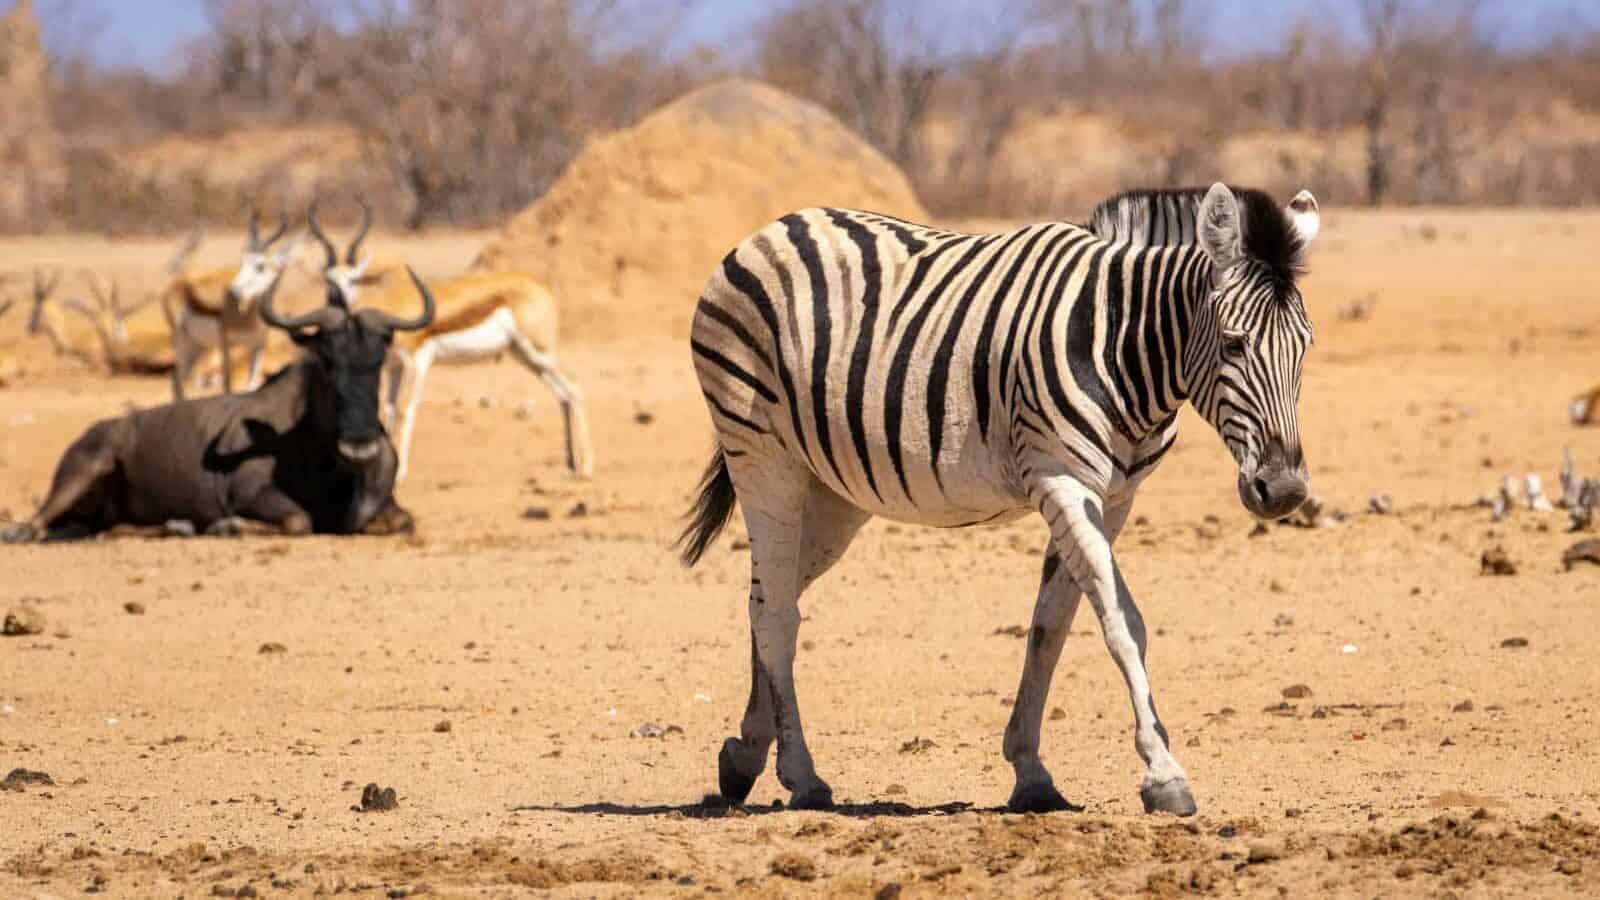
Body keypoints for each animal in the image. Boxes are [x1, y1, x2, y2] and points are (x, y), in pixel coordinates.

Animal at [677, 182, 1320, 816]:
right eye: (1234, 346)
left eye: (1305, 348)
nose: (1284, 491)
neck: (1121, 345)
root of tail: (777, 226)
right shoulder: (1063, 479)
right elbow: (1121, 619)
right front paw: (1164, 772)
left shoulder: (1113, 498)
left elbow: (1050, 627)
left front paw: (1030, 771)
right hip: (763, 455)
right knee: (777, 611)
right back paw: (803, 776)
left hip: (835, 490)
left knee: (768, 594)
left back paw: (745, 755)